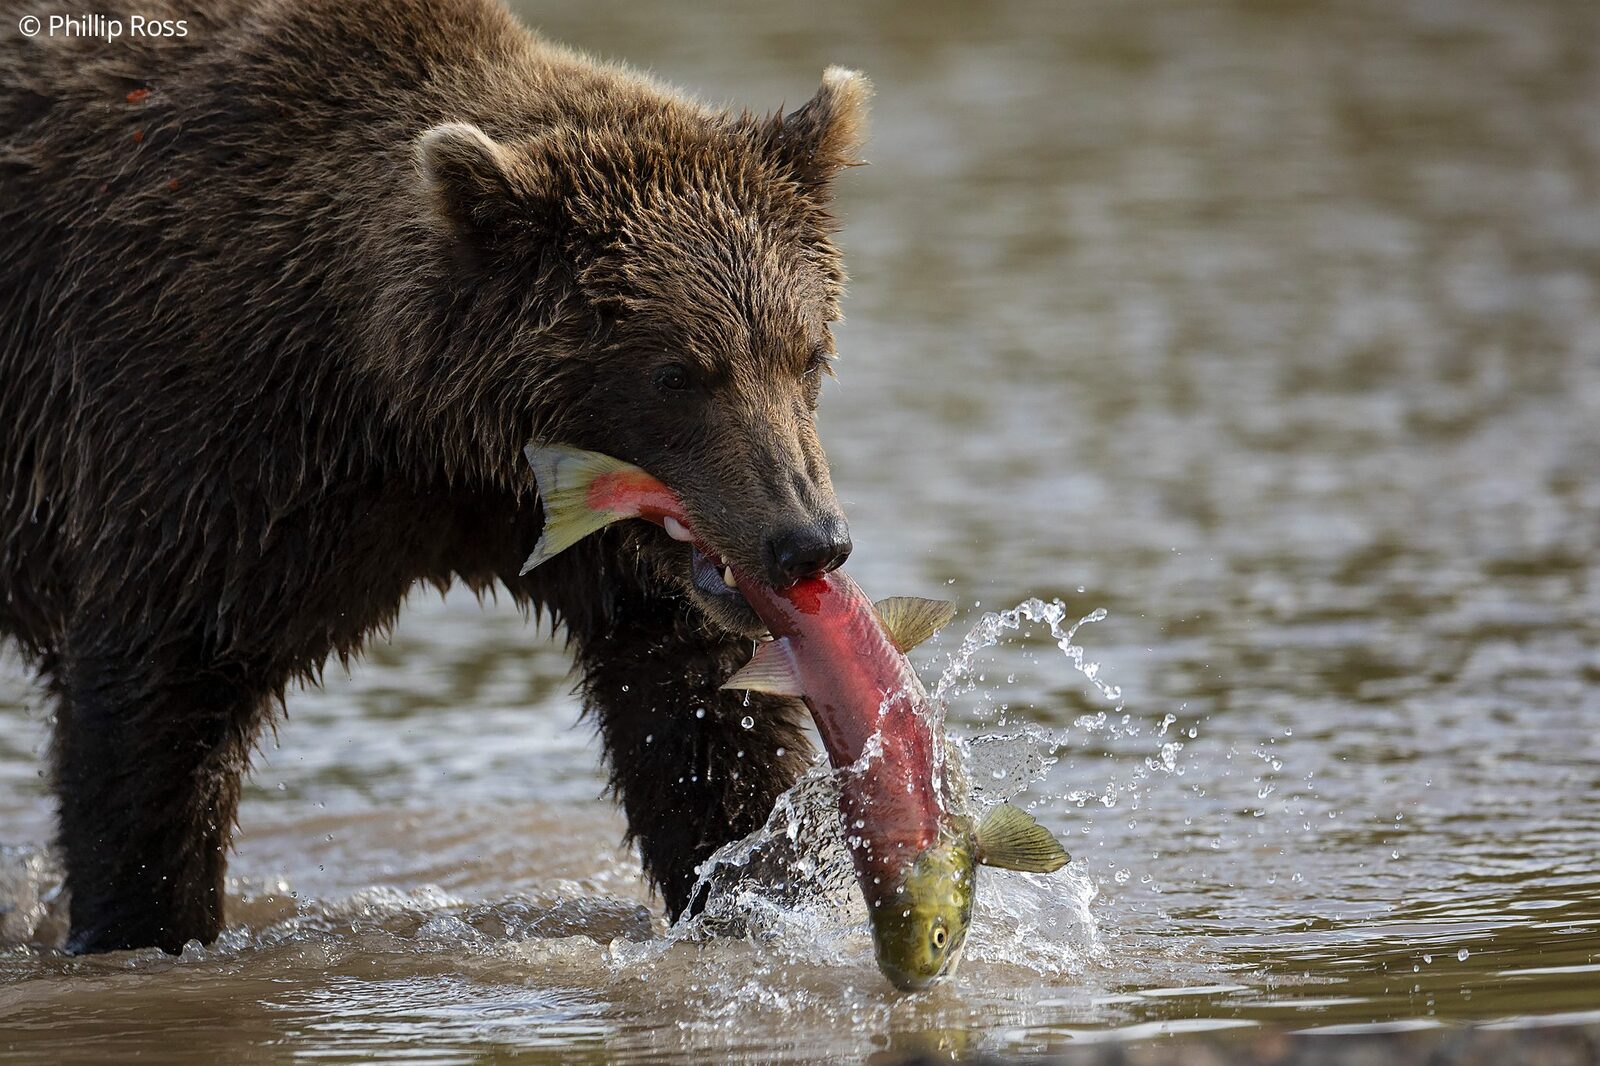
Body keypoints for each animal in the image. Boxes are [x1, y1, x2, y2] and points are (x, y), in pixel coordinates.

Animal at [0, 0, 868, 954]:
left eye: (806, 353)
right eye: (677, 373)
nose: (807, 540)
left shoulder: (587, 544)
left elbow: (702, 725)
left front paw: (752, 891)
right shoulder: (202, 448)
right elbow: (156, 716)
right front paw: (142, 920)